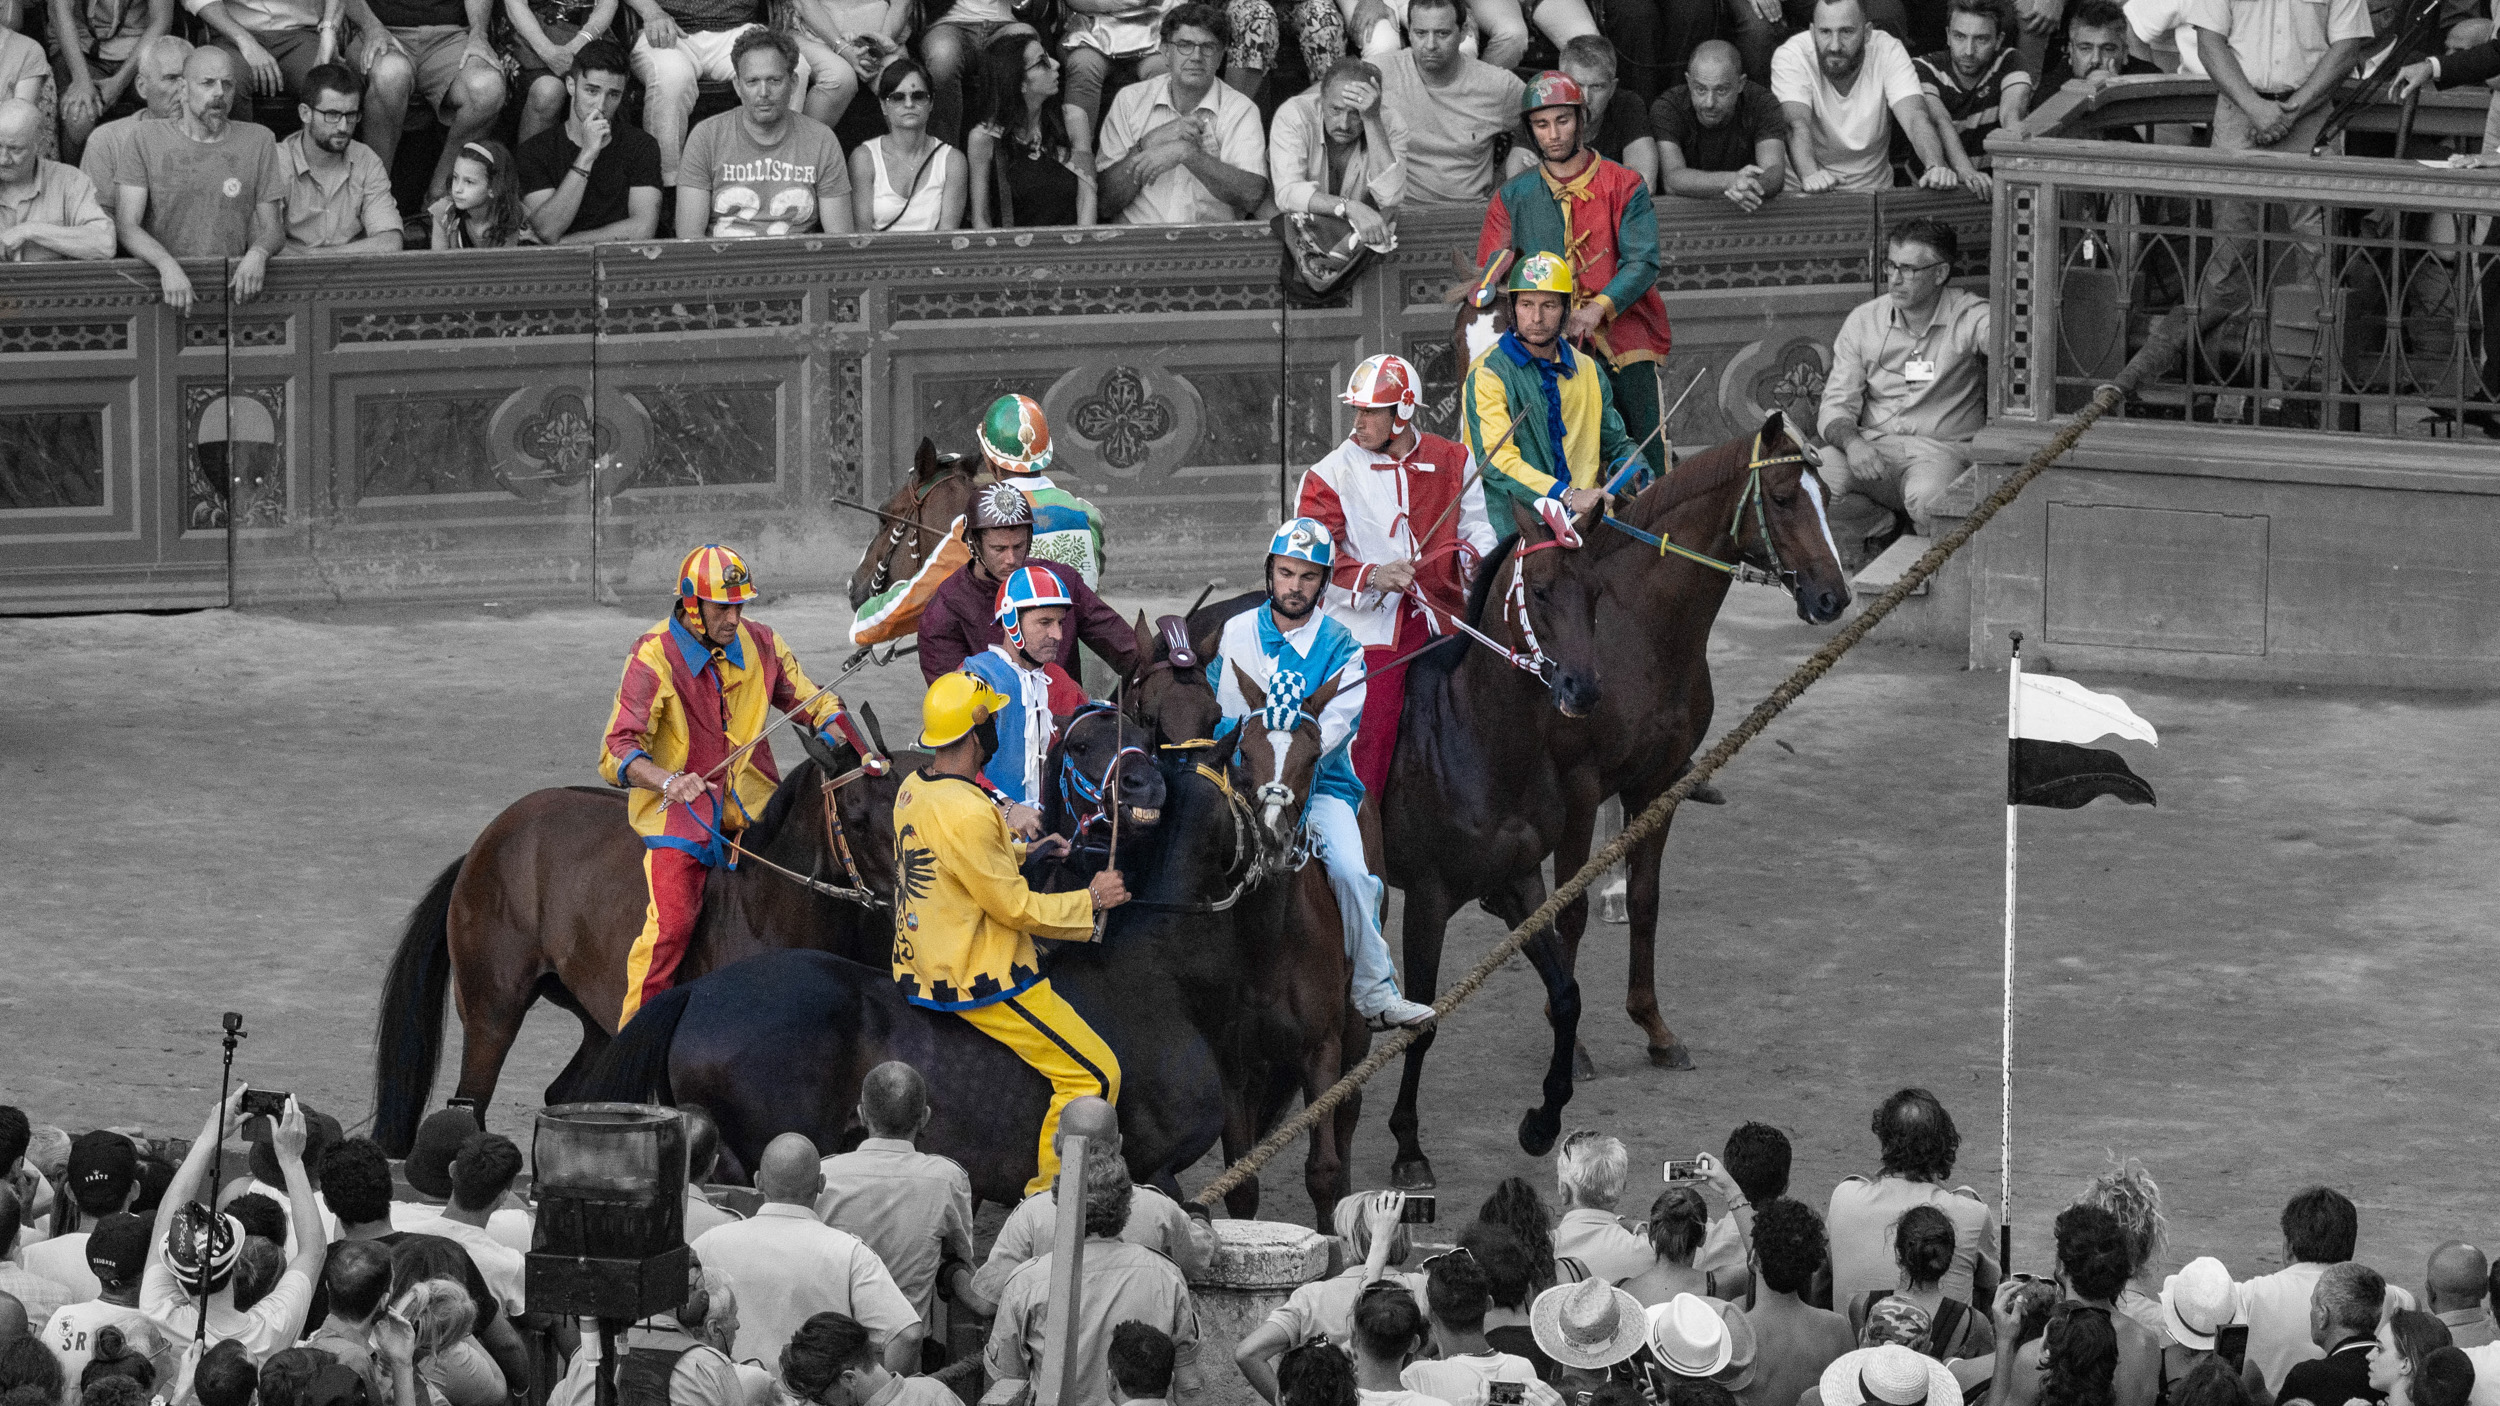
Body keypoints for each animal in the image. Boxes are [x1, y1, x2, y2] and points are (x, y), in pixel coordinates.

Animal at [1380, 412, 1851, 1188]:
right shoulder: (1580, 789)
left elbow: (1647, 901)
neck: (1645, 635)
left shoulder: (1656, 783)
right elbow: (1566, 914)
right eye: (1785, 497)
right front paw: (1573, 1048)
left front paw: (1654, 1029)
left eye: (1829, 496)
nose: (1832, 598)